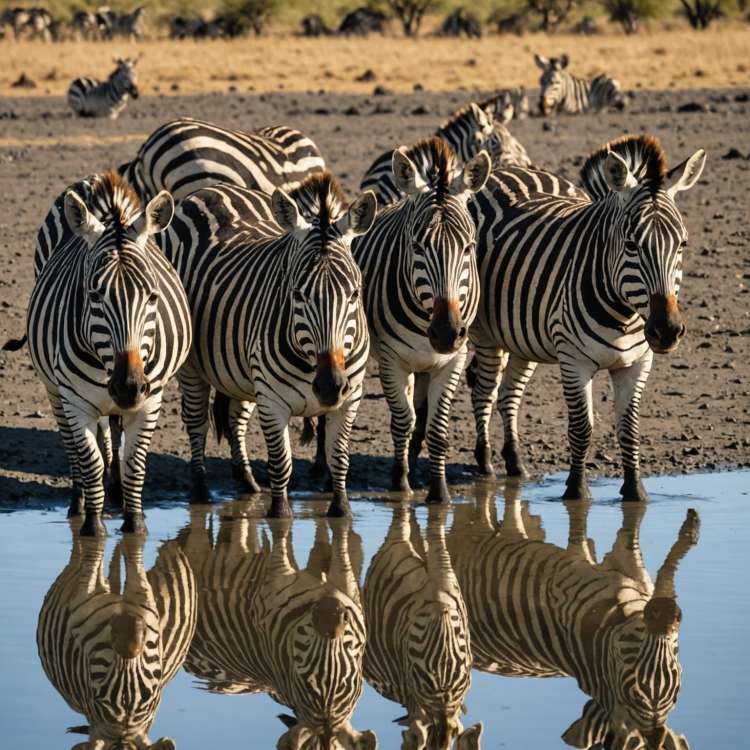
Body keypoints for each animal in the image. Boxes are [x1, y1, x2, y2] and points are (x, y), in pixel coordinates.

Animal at [25, 172, 192, 535]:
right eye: (94, 295)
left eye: (153, 296)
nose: (128, 386)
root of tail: (93, 179)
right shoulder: (75, 400)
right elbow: (89, 461)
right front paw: (92, 526)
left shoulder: (150, 399)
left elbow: (134, 463)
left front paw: (135, 523)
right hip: (55, 390)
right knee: (74, 449)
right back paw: (79, 502)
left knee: (112, 432)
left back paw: (116, 492)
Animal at [161, 172, 375, 517]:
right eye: (298, 294)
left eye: (354, 293)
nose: (329, 386)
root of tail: (212, 189)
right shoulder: (273, 401)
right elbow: (282, 463)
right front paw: (279, 512)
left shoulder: (351, 396)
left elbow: (340, 459)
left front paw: (341, 509)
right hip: (193, 366)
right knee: (196, 423)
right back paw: (201, 491)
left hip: (240, 370)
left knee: (235, 418)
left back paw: (247, 482)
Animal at [448, 485, 698, 750]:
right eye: (630, 690)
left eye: (676, 693)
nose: (666, 613)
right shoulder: (580, 568)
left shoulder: (637, 577)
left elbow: (663, 568)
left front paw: (691, 528)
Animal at [468, 135, 706, 501]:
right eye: (632, 244)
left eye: (682, 244)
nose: (667, 331)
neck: (624, 315)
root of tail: (505, 171)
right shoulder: (573, 359)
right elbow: (582, 428)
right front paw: (576, 492)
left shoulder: (638, 363)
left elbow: (629, 428)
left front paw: (635, 492)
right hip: (485, 333)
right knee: (484, 390)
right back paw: (486, 463)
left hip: (522, 335)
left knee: (510, 393)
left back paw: (516, 463)